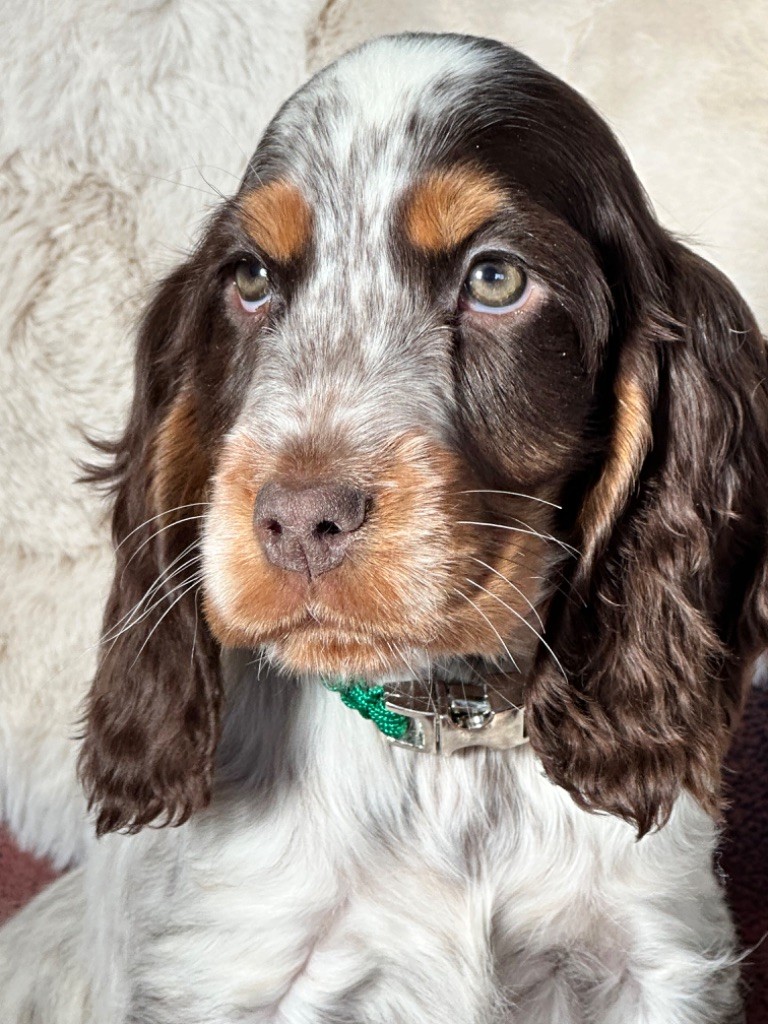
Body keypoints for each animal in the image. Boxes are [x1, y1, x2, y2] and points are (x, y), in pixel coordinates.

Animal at [1, 32, 768, 1024]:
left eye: (496, 277)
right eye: (250, 278)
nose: (297, 520)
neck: (446, 745)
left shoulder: (655, 961)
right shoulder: (231, 965)